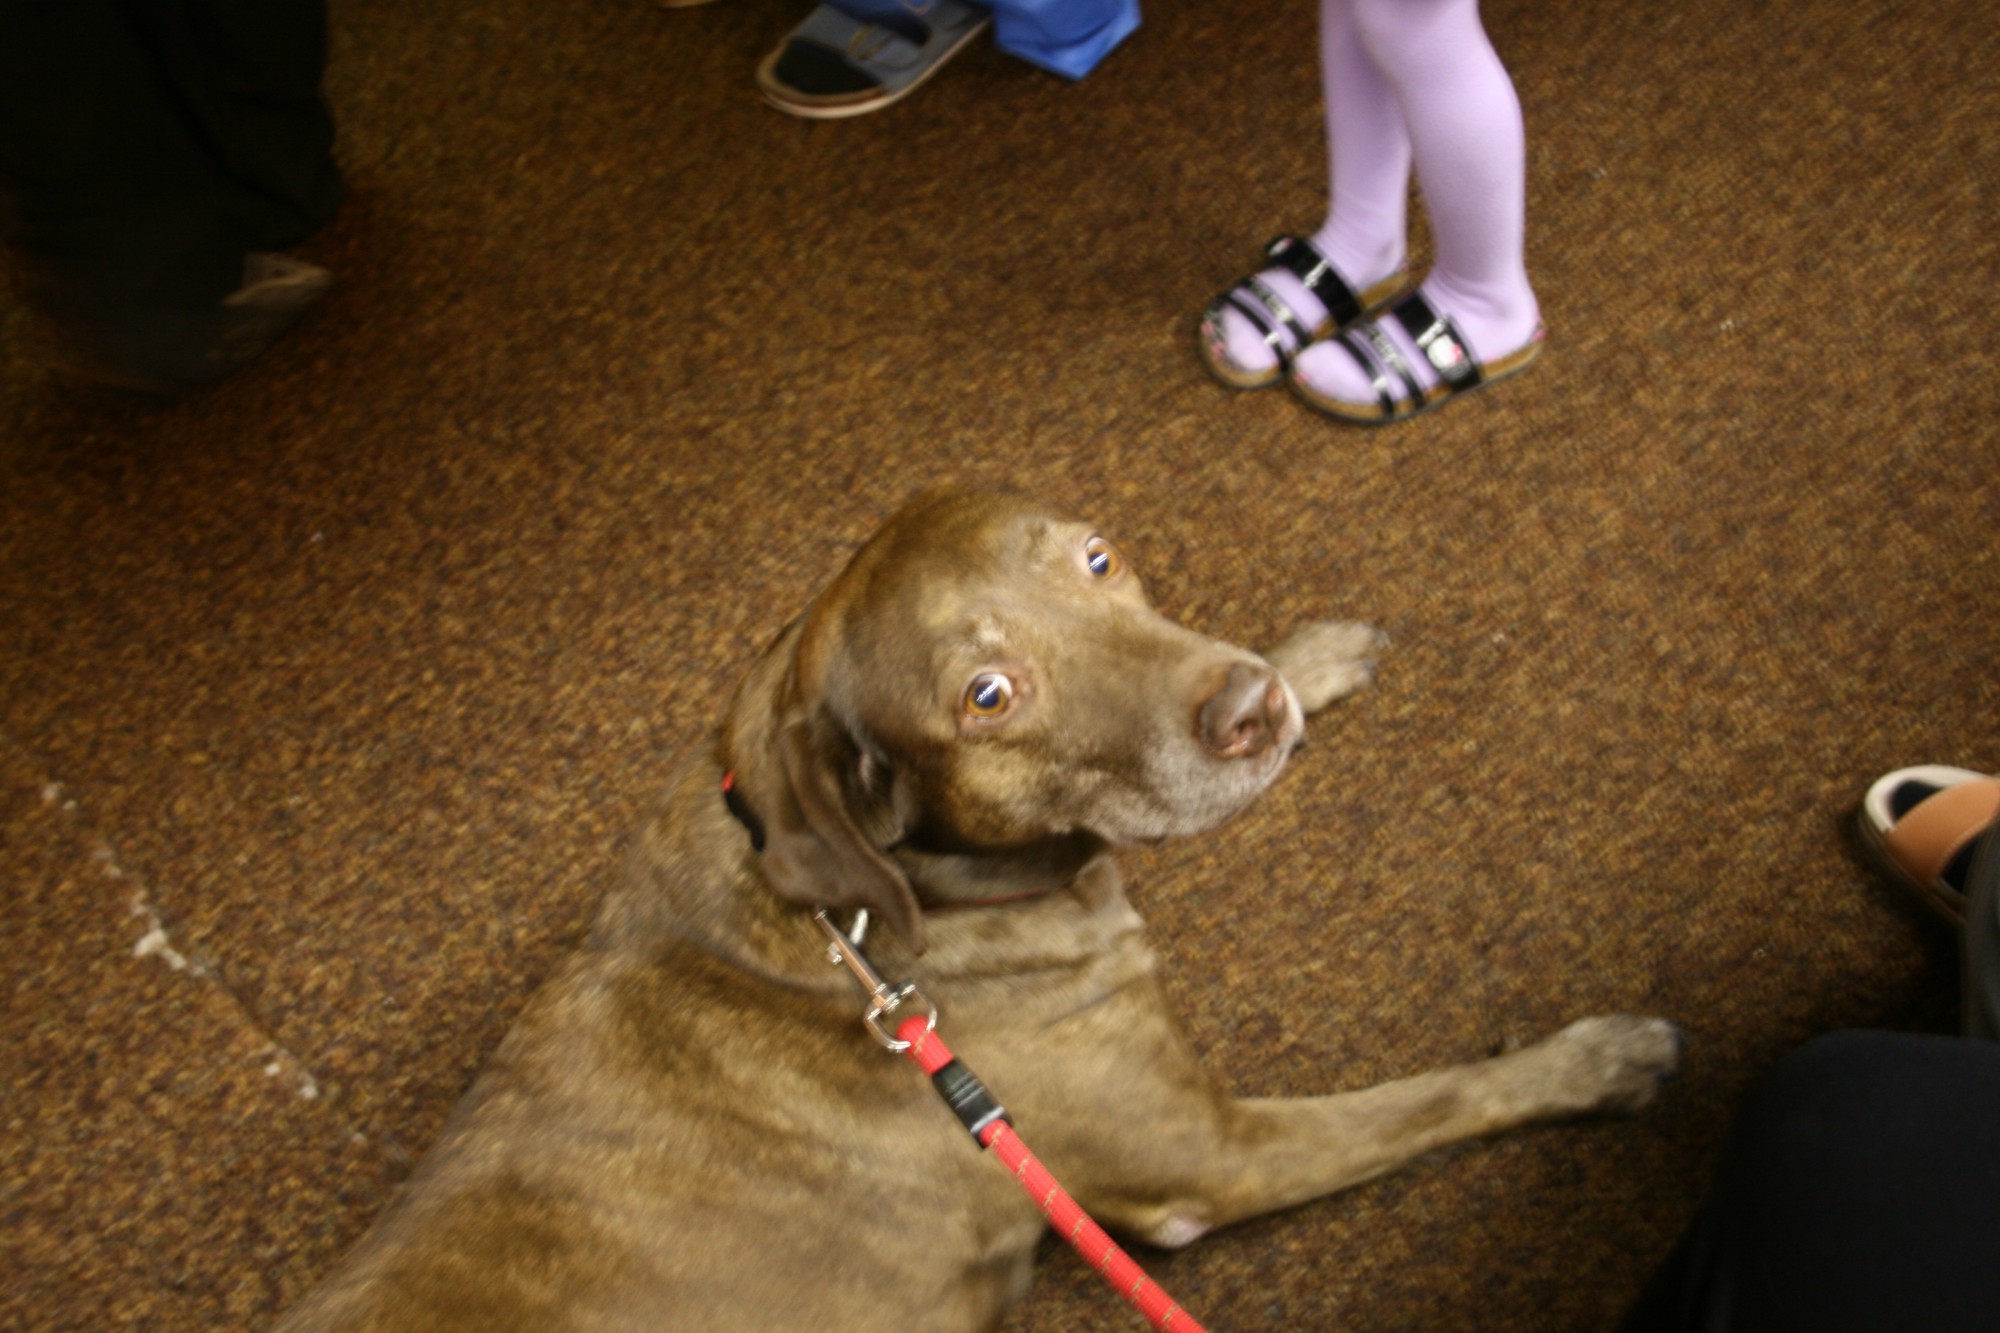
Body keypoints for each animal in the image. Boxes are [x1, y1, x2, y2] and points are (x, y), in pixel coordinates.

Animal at [273, 489, 1679, 1332]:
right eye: (987, 695)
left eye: (1100, 560)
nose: (1248, 710)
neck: (863, 932)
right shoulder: (1208, 1155)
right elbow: (1436, 1095)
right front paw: (1592, 1059)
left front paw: (1307, 659)